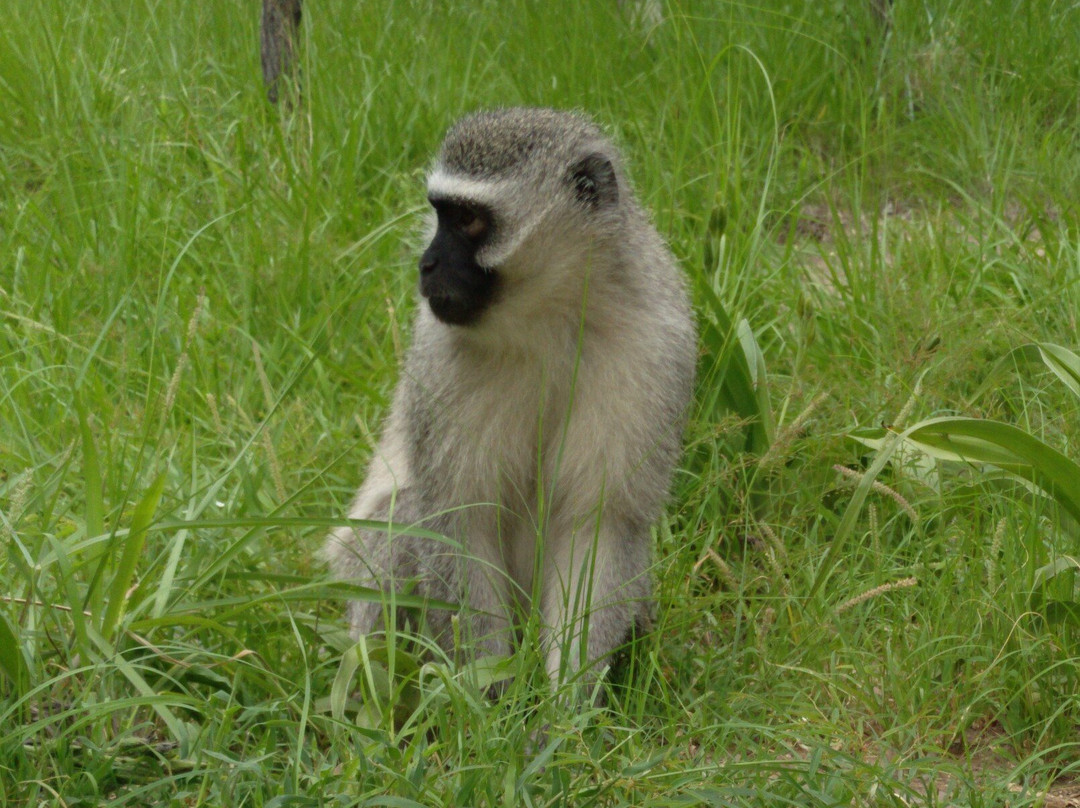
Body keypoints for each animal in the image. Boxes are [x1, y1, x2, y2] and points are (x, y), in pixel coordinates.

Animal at [324, 107, 696, 687]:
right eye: (439, 214)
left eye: (468, 220)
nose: (426, 264)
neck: (548, 318)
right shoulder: (441, 356)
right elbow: (461, 519)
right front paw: (490, 694)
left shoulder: (657, 348)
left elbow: (599, 524)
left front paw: (565, 700)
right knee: (402, 516)